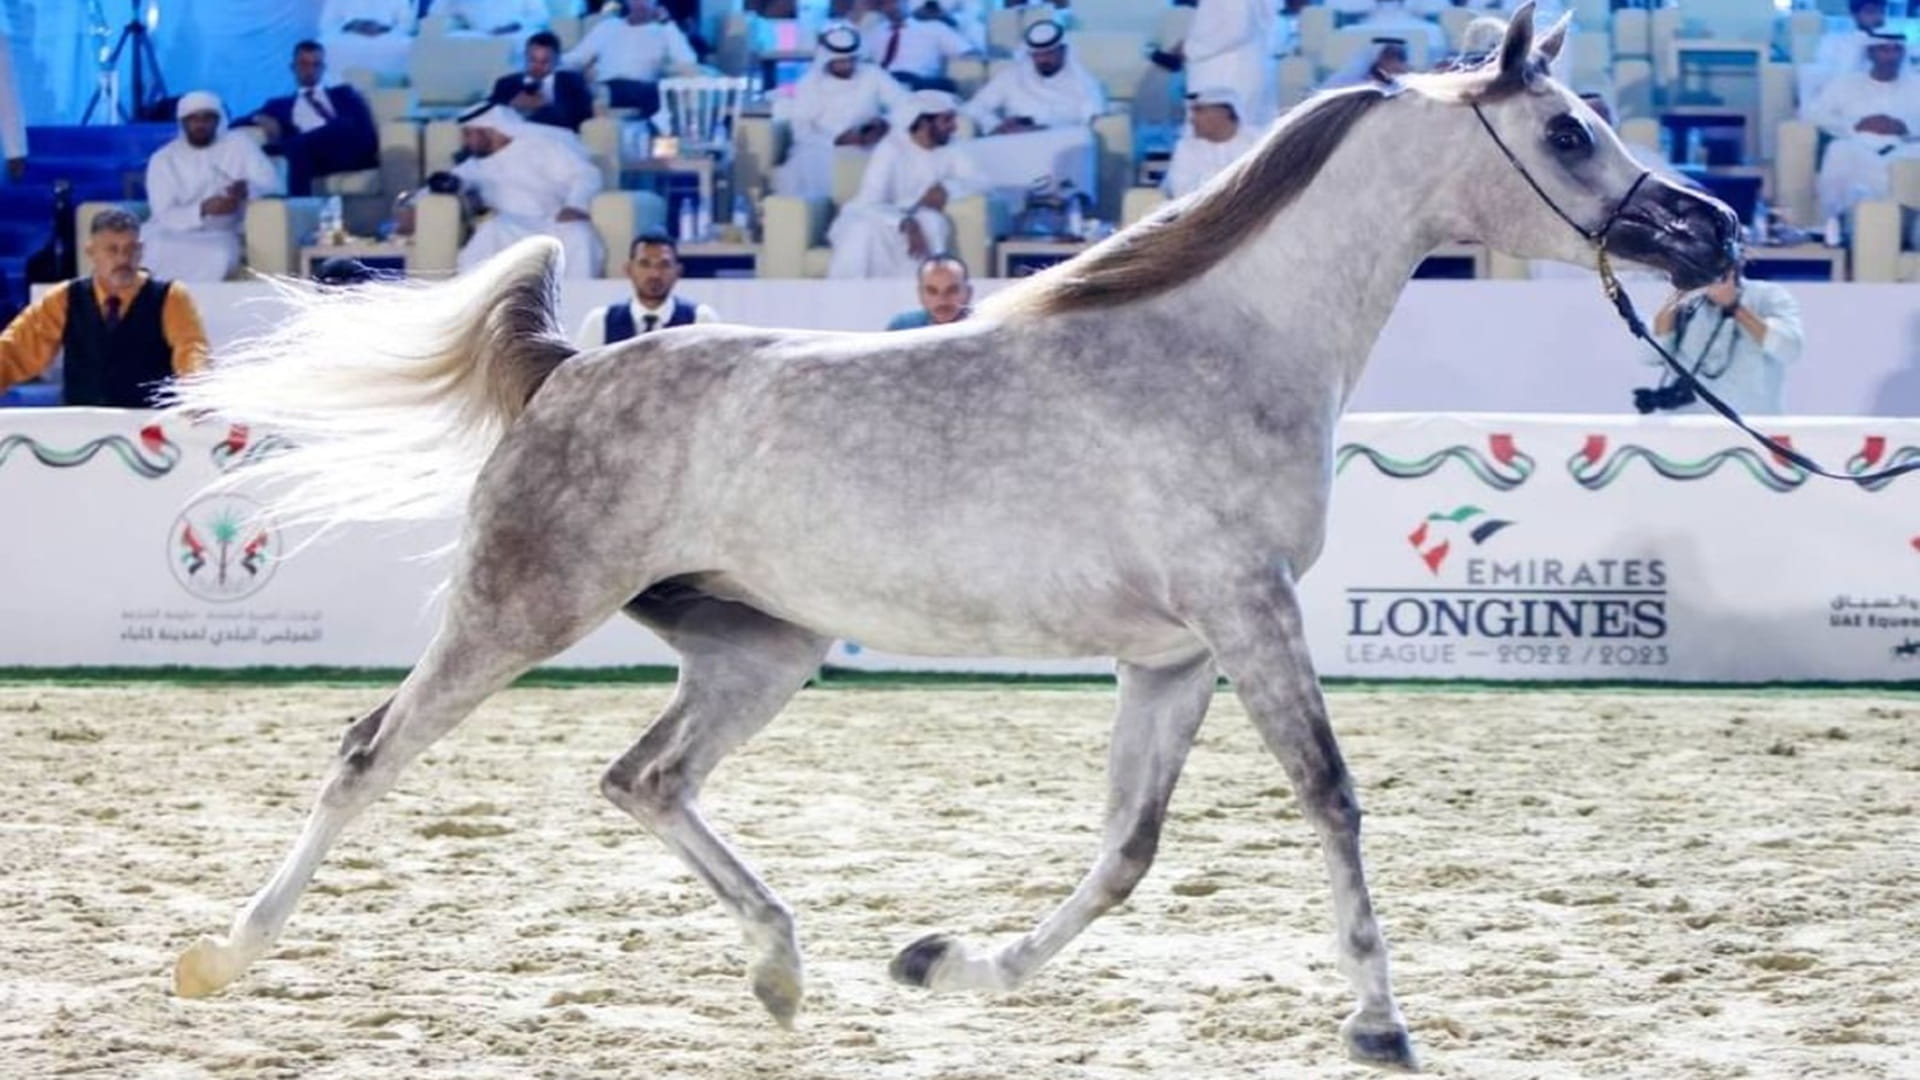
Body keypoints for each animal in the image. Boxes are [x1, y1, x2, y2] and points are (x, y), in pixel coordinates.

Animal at [166, 7, 1736, 1071]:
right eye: (1568, 132)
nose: (1712, 231)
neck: (1221, 345)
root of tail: (569, 367)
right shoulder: (1248, 616)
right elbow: (1331, 800)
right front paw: (1379, 1023)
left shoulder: (1175, 658)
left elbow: (1126, 849)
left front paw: (945, 965)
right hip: (522, 607)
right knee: (371, 754)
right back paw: (222, 957)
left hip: (760, 649)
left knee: (644, 778)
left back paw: (785, 974)